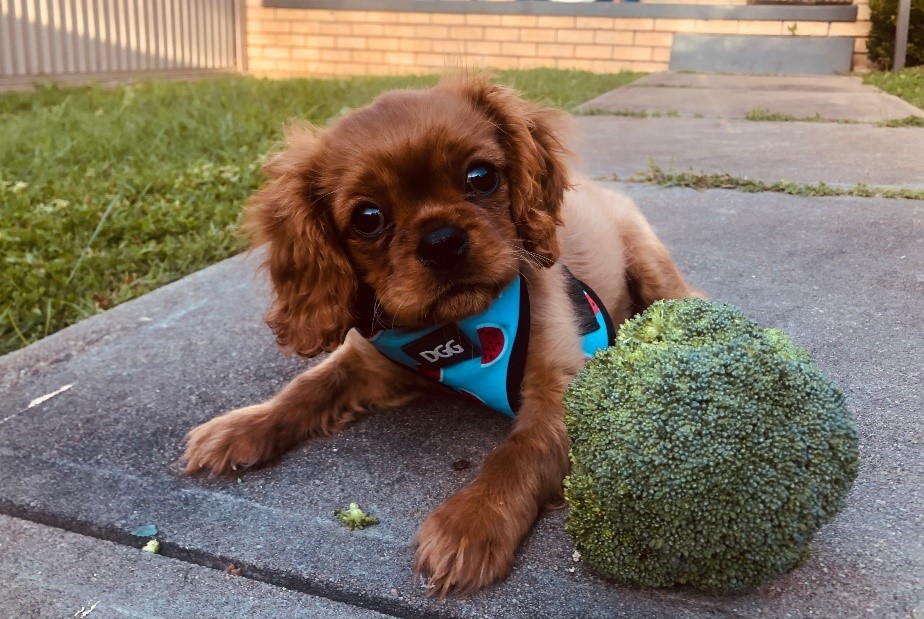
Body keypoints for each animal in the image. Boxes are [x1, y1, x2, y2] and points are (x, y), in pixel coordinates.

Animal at [184, 75, 696, 600]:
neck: (457, 328)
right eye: (367, 218)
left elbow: (518, 452)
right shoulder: (370, 362)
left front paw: (472, 521)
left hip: (647, 258)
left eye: (481, 177)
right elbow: (308, 386)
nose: (442, 241)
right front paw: (244, 426)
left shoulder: (561, 386)